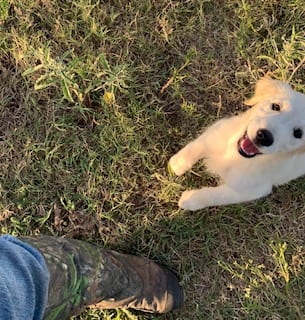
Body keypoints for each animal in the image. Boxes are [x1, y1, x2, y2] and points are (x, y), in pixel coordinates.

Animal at [169, 77, 305, 210]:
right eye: (276, 106)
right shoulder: (219, 129)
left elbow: (217, 196)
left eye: (298, 133)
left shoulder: (252, 189)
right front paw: (178, 163)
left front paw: (190, 200)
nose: (265, 137)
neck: (235, 155)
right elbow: (198, 145)